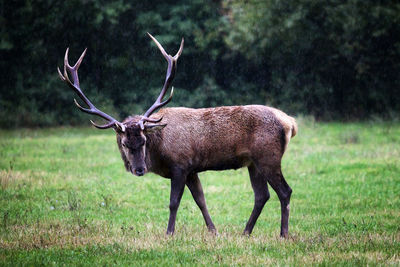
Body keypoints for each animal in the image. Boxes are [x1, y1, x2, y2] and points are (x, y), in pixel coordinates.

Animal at [58, 33, 296, 239]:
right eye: (125, 143)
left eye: (143, 141)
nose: (139, 169)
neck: (160, 151)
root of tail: (289, 122)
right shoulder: (192, 170)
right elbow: (201, 200)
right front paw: (214, 231)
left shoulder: (180, 165)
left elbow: (174, 202)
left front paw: (169, 233)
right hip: (252, 162)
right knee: (262, 195)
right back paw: (246, 232)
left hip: (268, 156)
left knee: (285, 191)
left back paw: (283, 234)